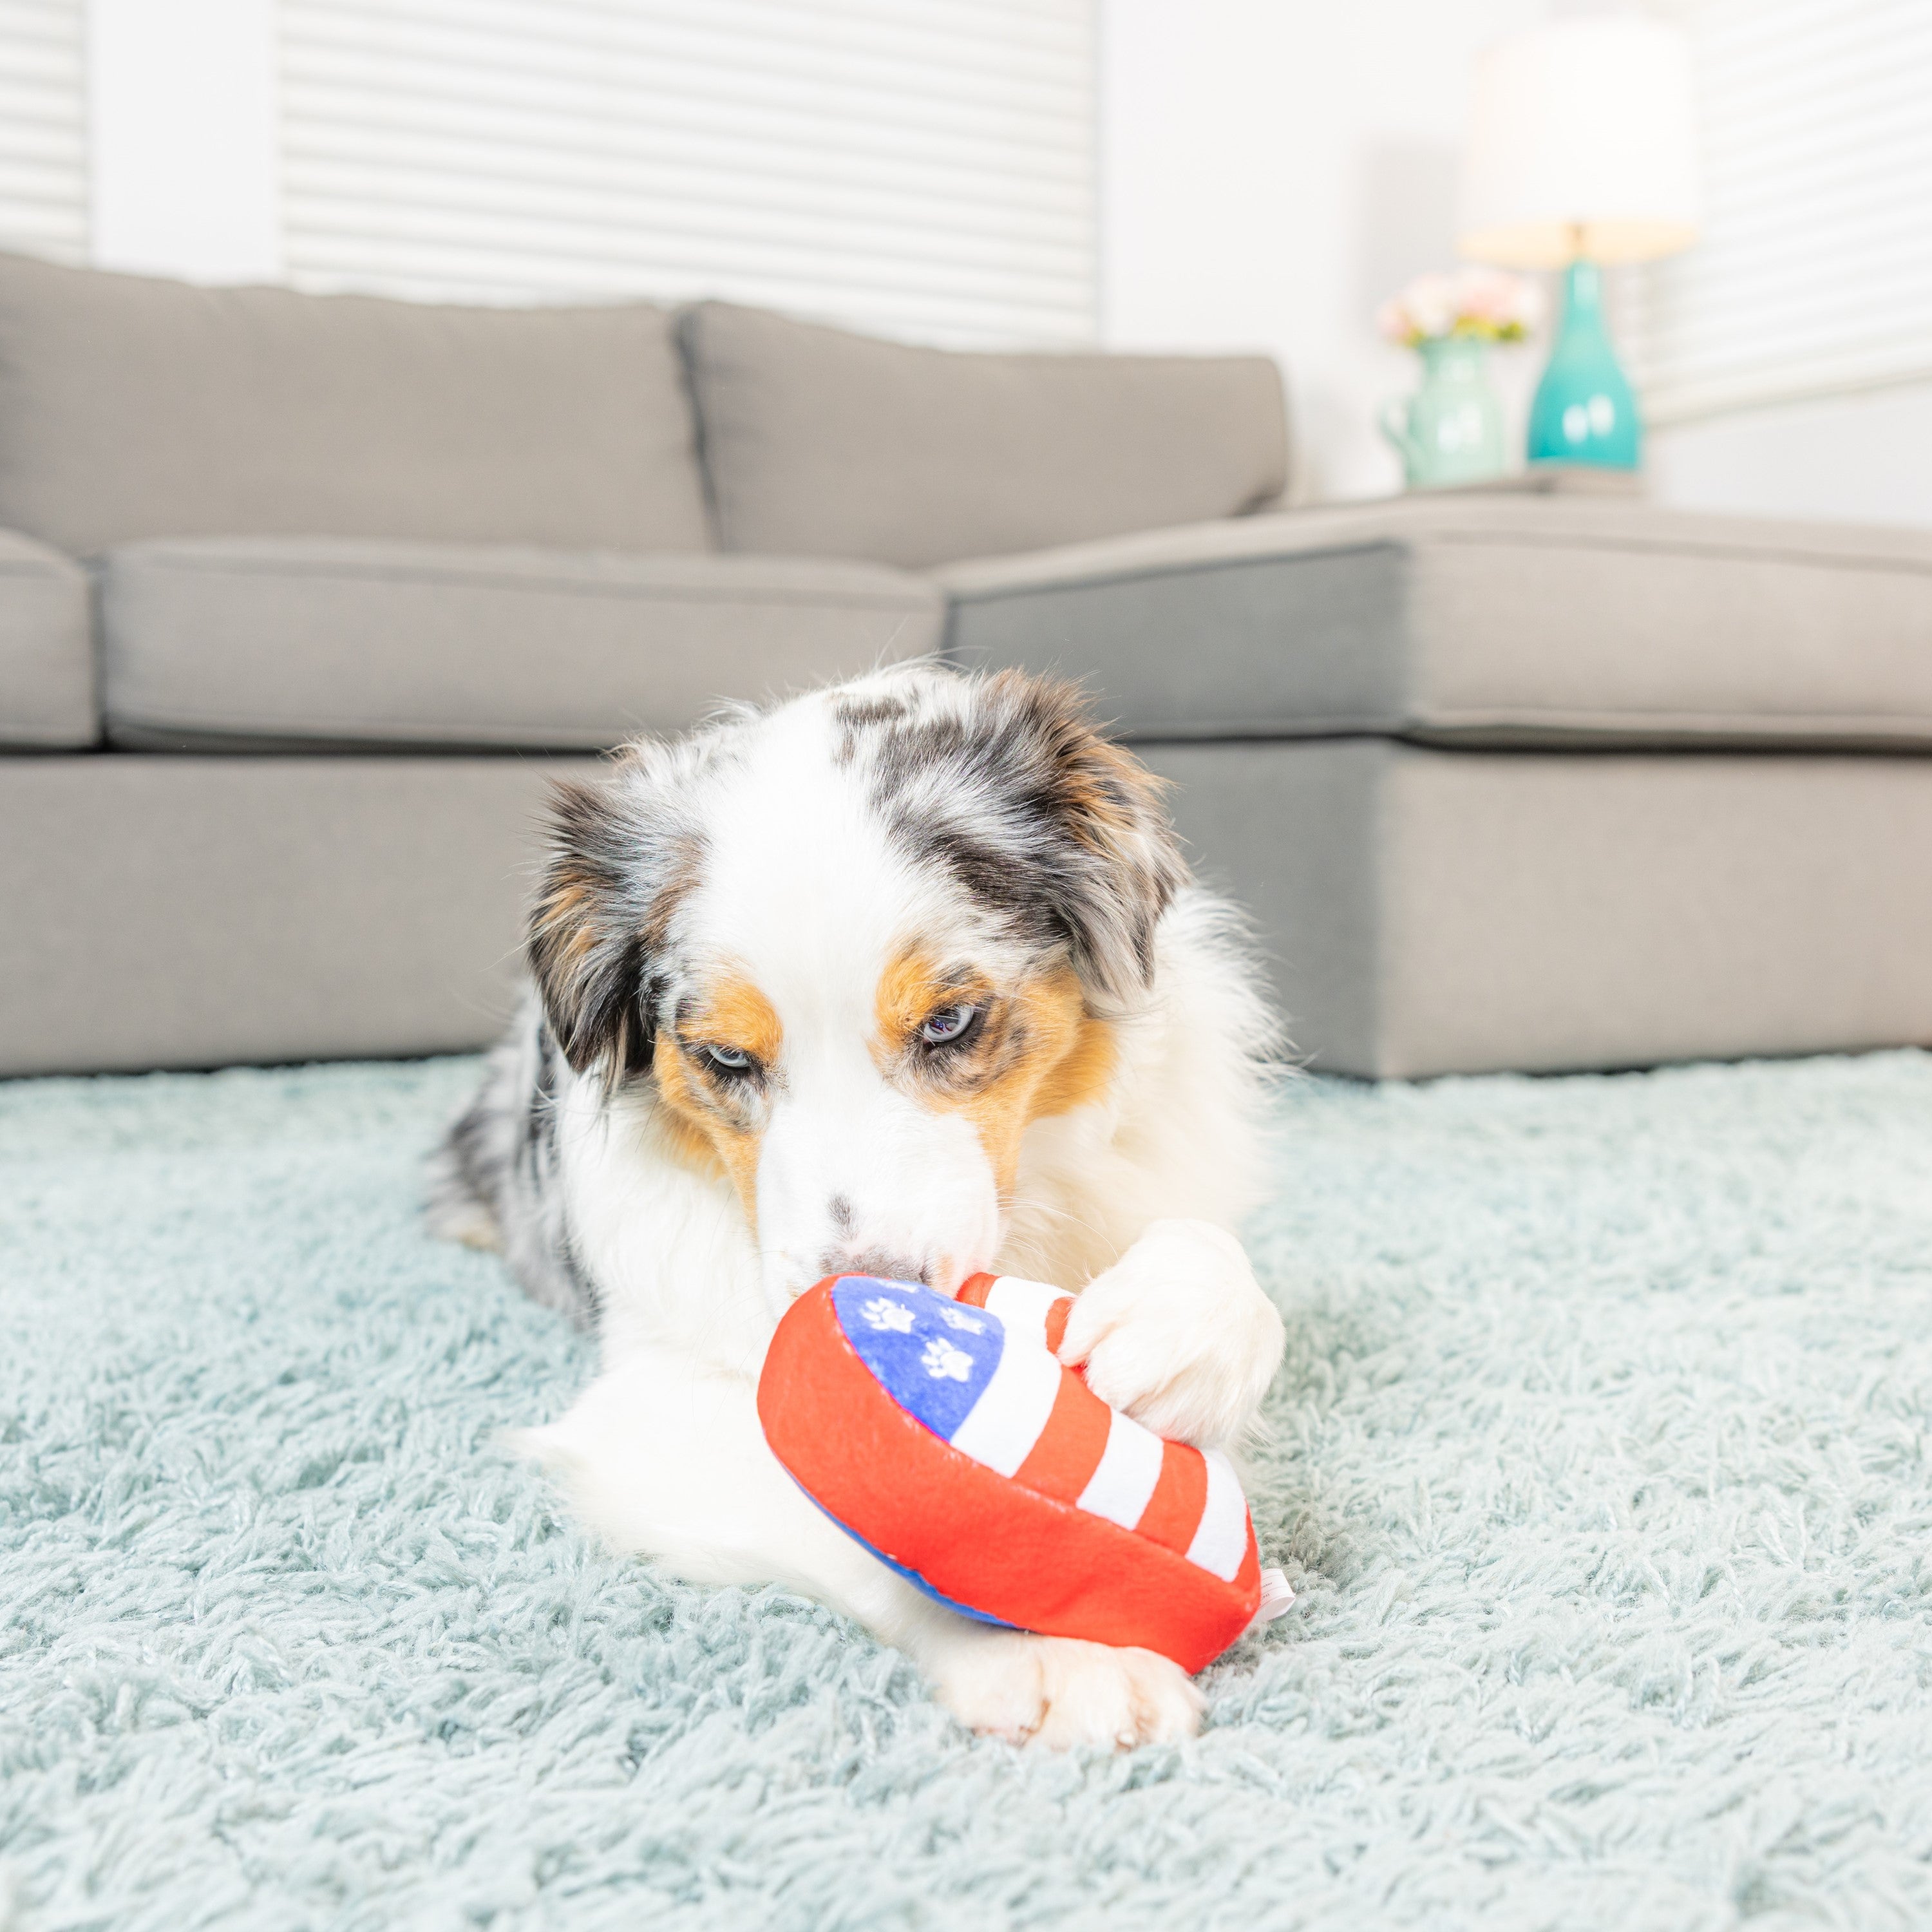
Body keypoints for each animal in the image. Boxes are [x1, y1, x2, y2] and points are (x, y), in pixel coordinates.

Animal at [431, 665, 1291, 1754]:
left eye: (951, 1021)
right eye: (725, 1057)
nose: (868, 1298)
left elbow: (1225, 1273)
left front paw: (1179, 1329)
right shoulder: (648, 1407)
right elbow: (867, 1505)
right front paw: (1054, 1642)